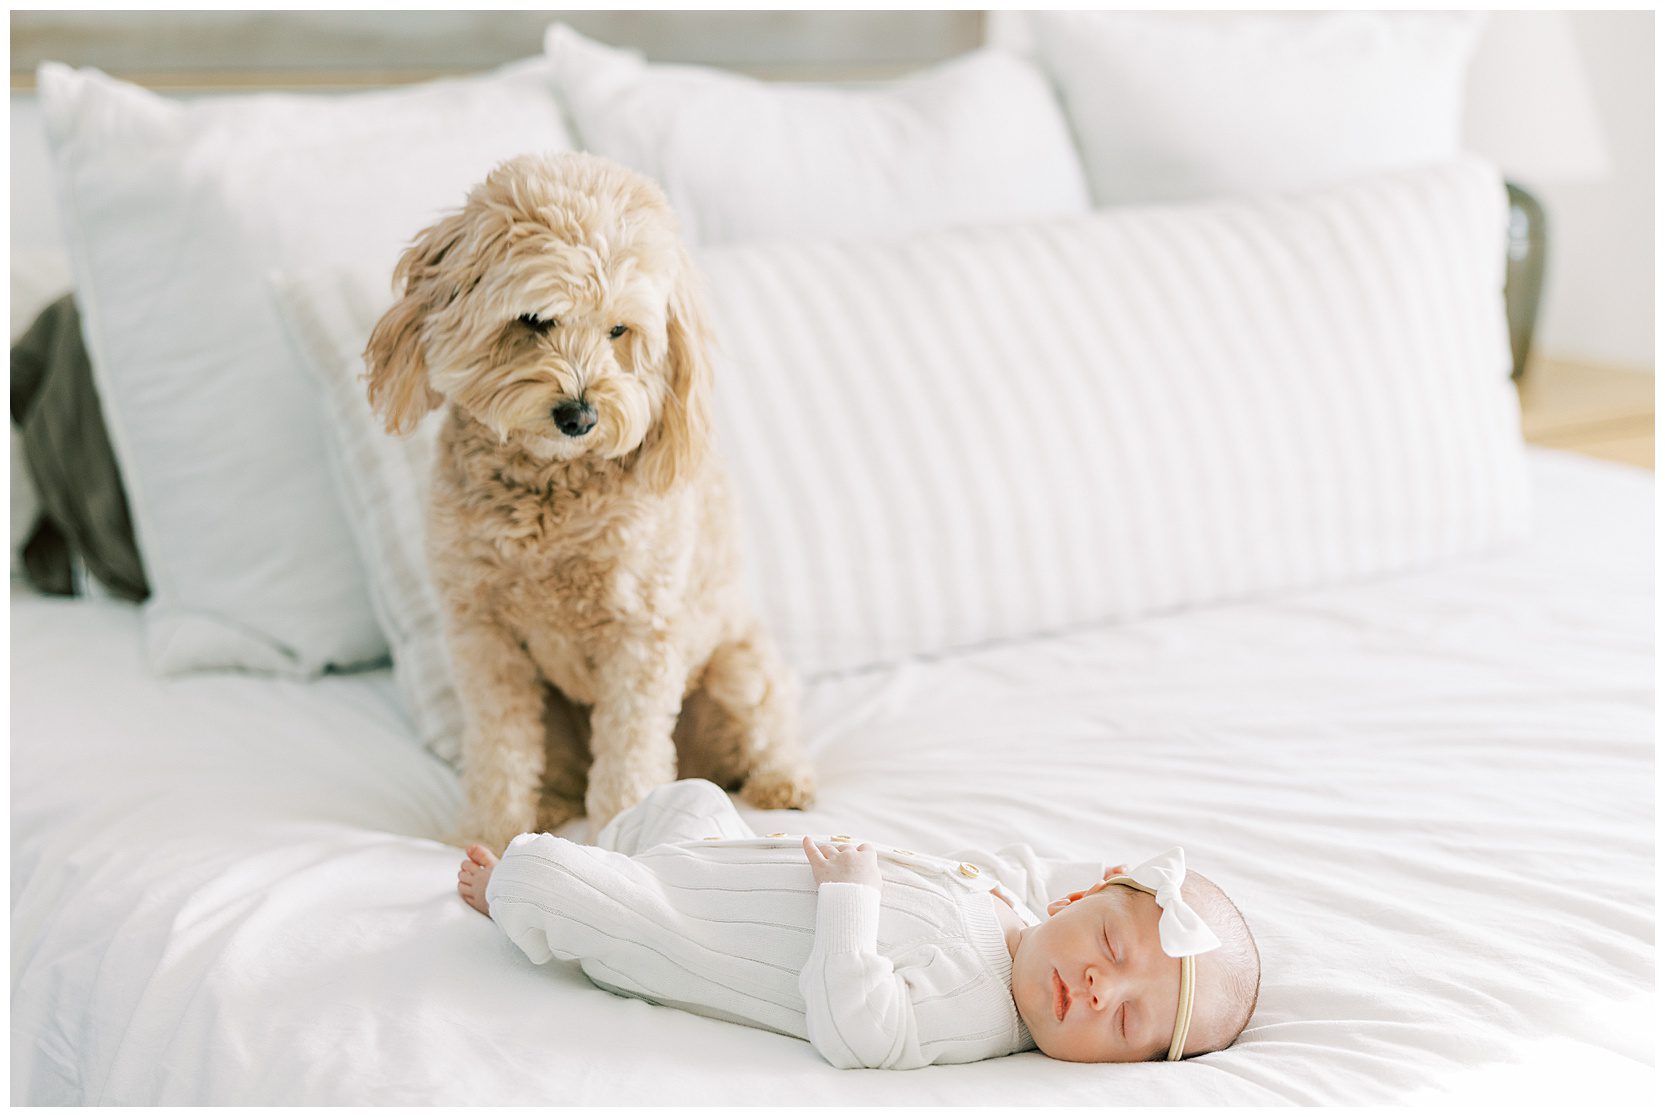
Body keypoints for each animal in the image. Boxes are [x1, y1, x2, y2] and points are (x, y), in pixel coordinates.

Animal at [364, 148, 812, 848]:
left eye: (619, 330)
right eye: (533, 320)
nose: (579, 415)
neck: (552, 490)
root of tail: (706, 766)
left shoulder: (641, 638)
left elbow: (628, 756)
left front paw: (623, 838)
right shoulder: (483, 634)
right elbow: (501, 752)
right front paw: (491, 835)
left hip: (739, 668)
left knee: (767, 727)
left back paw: (783, 784)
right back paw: (548, 806)